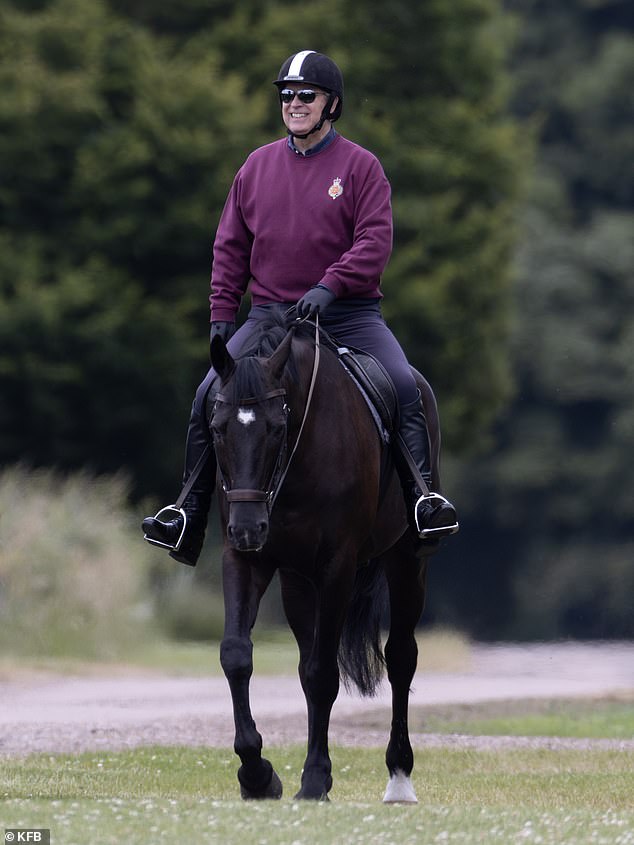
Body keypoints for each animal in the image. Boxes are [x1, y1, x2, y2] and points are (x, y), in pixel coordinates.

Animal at [206, 310, 440, 796]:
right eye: (217, 429)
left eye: (277, 428)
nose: (248, 527)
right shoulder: (244, 560)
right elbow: (236, 654)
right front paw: (257, 774)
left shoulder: (338, 567)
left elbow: (323, 675)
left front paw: (314, 779)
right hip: (297, 581)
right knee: (305, 659)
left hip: (406, 561)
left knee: (401, 659)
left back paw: (399, 777)